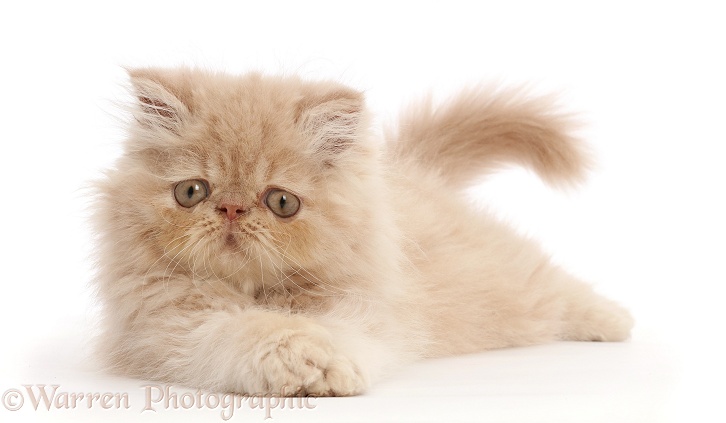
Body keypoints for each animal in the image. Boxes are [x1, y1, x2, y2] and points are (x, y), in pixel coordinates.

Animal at [94, 67, 636, 398]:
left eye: (281, 202)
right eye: (191, 192)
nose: (231, 209)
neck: (255, 292)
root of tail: (411, 166)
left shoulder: (364, 309)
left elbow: (339, 335)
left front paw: (329, 366)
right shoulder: (167, 328)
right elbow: (247, 331)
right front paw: (301, 358)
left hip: (515, 289)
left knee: (557, 287)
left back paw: (611, 320)